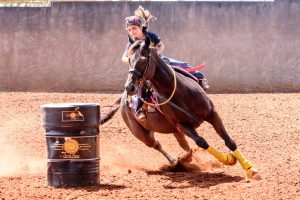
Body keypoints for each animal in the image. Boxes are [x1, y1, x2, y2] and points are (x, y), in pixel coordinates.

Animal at [120, 38, 258, 180]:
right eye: (129, 60)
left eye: (143, 60)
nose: (129, 87)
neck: (181, 92)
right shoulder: (183, 126)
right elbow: (202, 142)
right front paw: (227, 159)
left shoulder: (212, 114)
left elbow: (229, 141)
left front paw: (249, 169)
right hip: (144, 134)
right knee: (157, 144)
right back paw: (175, 162)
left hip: (175, 131)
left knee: (184, 146)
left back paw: (185, 160)